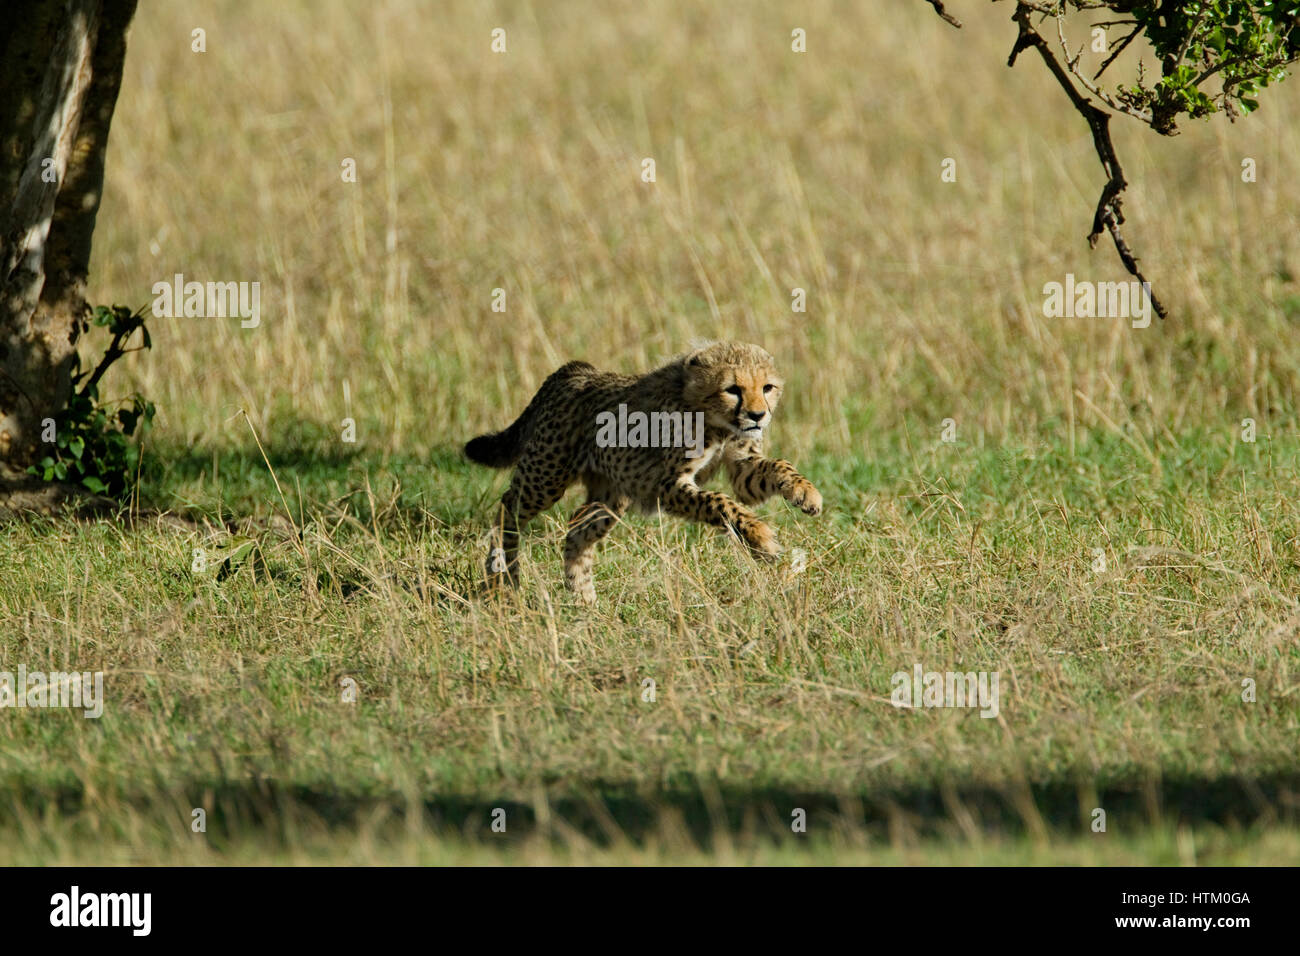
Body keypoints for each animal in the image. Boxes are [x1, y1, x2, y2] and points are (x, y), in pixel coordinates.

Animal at [462, 340, 816, 600]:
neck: (714, 421)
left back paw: (583, 598)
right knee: (508, 508)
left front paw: (805, 491)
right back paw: (502, 578)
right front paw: (761, 538)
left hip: (611, 495)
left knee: (577, 529)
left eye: (767, 387)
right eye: (732, 389)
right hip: (547, 475)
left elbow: (776, 467)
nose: (757, 416)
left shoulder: (741, 464)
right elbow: (721, 503)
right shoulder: (668, 485)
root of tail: (576, 371)